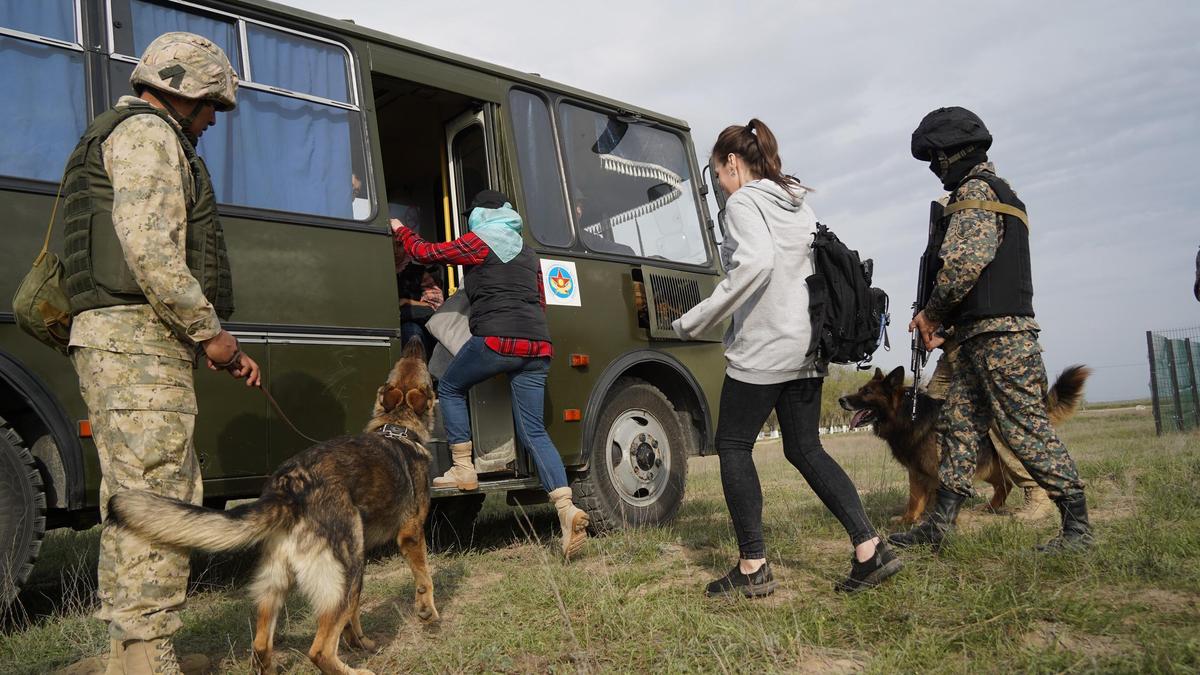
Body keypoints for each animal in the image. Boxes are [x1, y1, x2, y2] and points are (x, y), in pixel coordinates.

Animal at [110, 338, 439, 667]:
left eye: (403, 364)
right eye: (423, 371)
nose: (414, 341)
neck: (397, 428)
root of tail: (289, 488)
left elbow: (354, 615)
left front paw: (360, 641)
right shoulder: (410, 534)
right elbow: (425, 577)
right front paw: (428, 614)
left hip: (283, 582)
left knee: (261, 645)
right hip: (345, 572)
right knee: (319, 651)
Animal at [840, 365, 1094, 523]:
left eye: (867, 392)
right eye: (861, 389)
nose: (841, 400)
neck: (907, 413)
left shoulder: (936, 469)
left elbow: (931, 497)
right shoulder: (917, 470)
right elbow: (915, 499)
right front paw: (908, 520)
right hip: (987, 465)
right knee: (1004, 484)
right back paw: (991, 508)